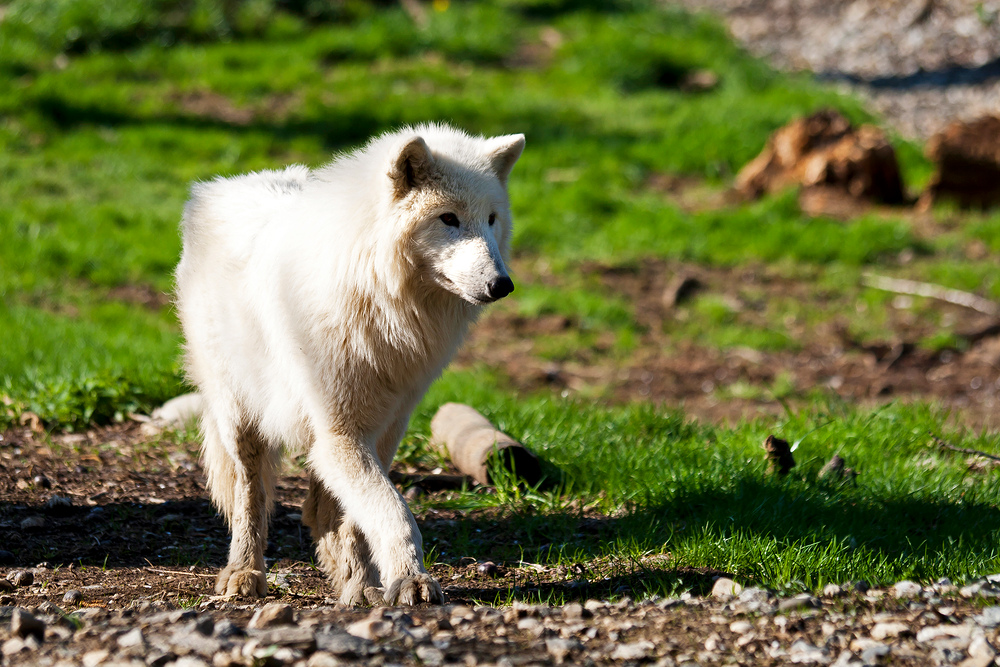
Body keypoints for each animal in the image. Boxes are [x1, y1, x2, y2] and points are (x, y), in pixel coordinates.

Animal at [176, 124, 528, 604]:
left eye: (492, 219)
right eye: (448, 219)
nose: (502, 285)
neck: (380, 301)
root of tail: (216, 189)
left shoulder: (384, 427)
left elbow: (362, 519)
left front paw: (377, 582)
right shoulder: (341, 431)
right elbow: (394, 512)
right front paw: (411, 579)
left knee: (320, 510)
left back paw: (355, 585)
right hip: (240, 414)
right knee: (253, 496)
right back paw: (244, 572)